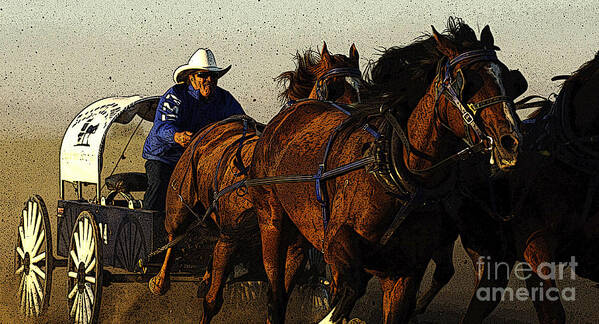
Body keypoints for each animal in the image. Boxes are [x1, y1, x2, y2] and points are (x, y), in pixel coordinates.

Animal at [148, 43, 364, 324]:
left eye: (362, 88)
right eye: (332, 88)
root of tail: (207, 131)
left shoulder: (294, 250)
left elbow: (278, 299)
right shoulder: (231, 238)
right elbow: (212, 302)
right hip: (179, 204)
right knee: (174, 237)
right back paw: (160, 281)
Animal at [247, 18, 524, 324]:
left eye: (507, 78)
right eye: (468, 81)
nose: (510, 142)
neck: (399, 176)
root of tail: (289, 113)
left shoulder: (404, 275)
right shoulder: (335, 243)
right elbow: (350, 287)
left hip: (298, 237)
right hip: (272, 221)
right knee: (276, 294)